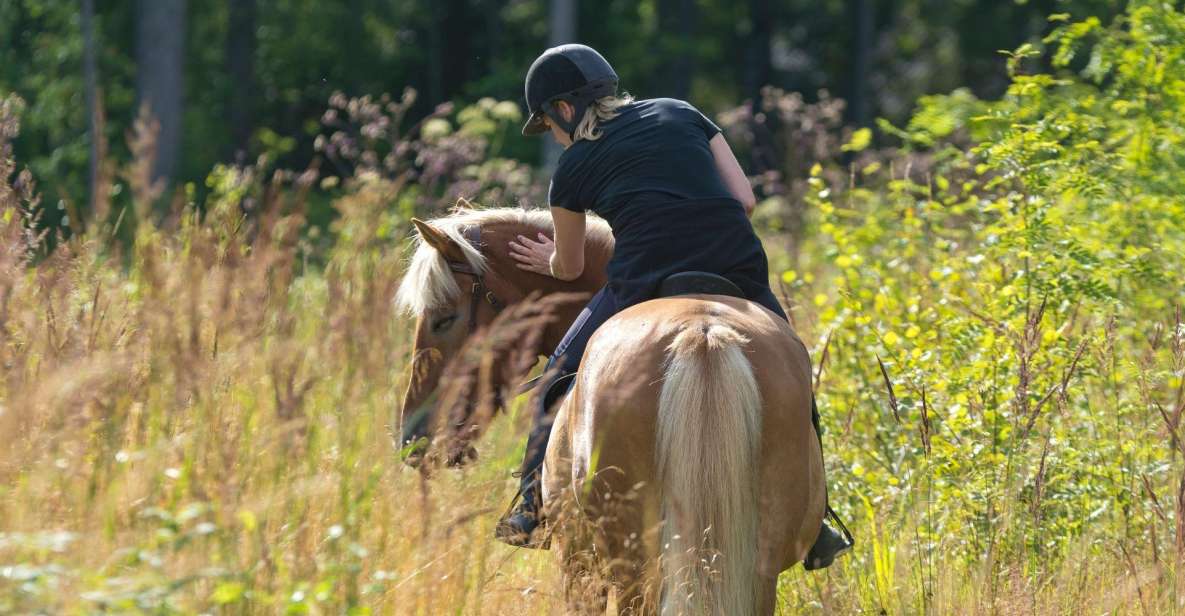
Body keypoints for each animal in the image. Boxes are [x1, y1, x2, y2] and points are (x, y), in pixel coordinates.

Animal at [393, 206, 820, 611]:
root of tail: (702, 333)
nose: (413, 438)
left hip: (631, 567)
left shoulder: (576, 561)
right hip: (755, 568)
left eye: (443, 319)